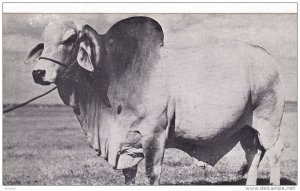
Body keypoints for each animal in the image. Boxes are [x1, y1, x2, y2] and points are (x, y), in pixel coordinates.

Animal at [25, 16, 284, 185]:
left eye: (69, 39)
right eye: (44, 41)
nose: (38, 73)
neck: (111, 74)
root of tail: (268, 58)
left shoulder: (154, 135)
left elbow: (152, 174)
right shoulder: (126, 143)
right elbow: (129, 176)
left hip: (269, 122)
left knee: (273, 153)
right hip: (246, 129)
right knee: (253, 154)